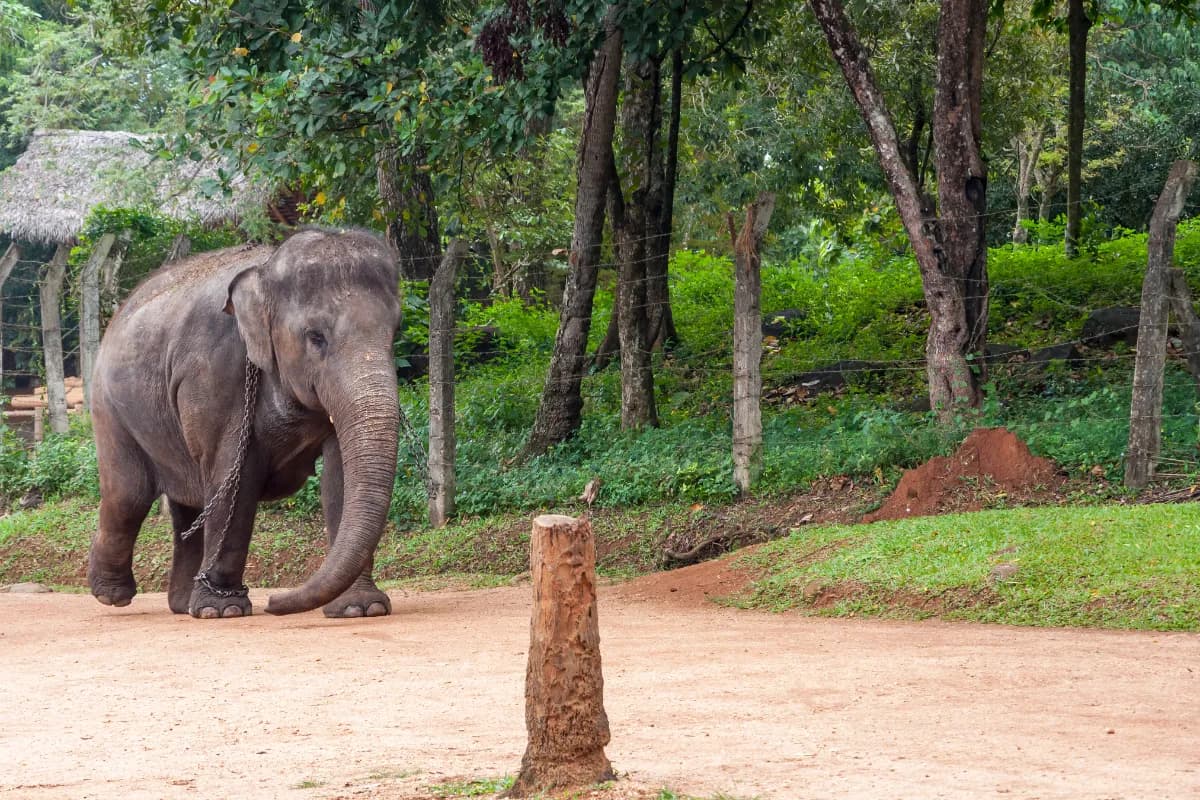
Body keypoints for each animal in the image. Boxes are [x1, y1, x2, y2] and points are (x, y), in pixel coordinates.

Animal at [87, 228, 402, 619]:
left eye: (395, 333)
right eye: (316, 337)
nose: (274, 602)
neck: (265, 270)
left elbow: (341, 476)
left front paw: (361, 608)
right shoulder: (215, 373)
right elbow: (233, 474)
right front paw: (223, 610)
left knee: (186, 504)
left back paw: (182, 604)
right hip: (109, 408)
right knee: (129, 494)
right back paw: (113, 595)